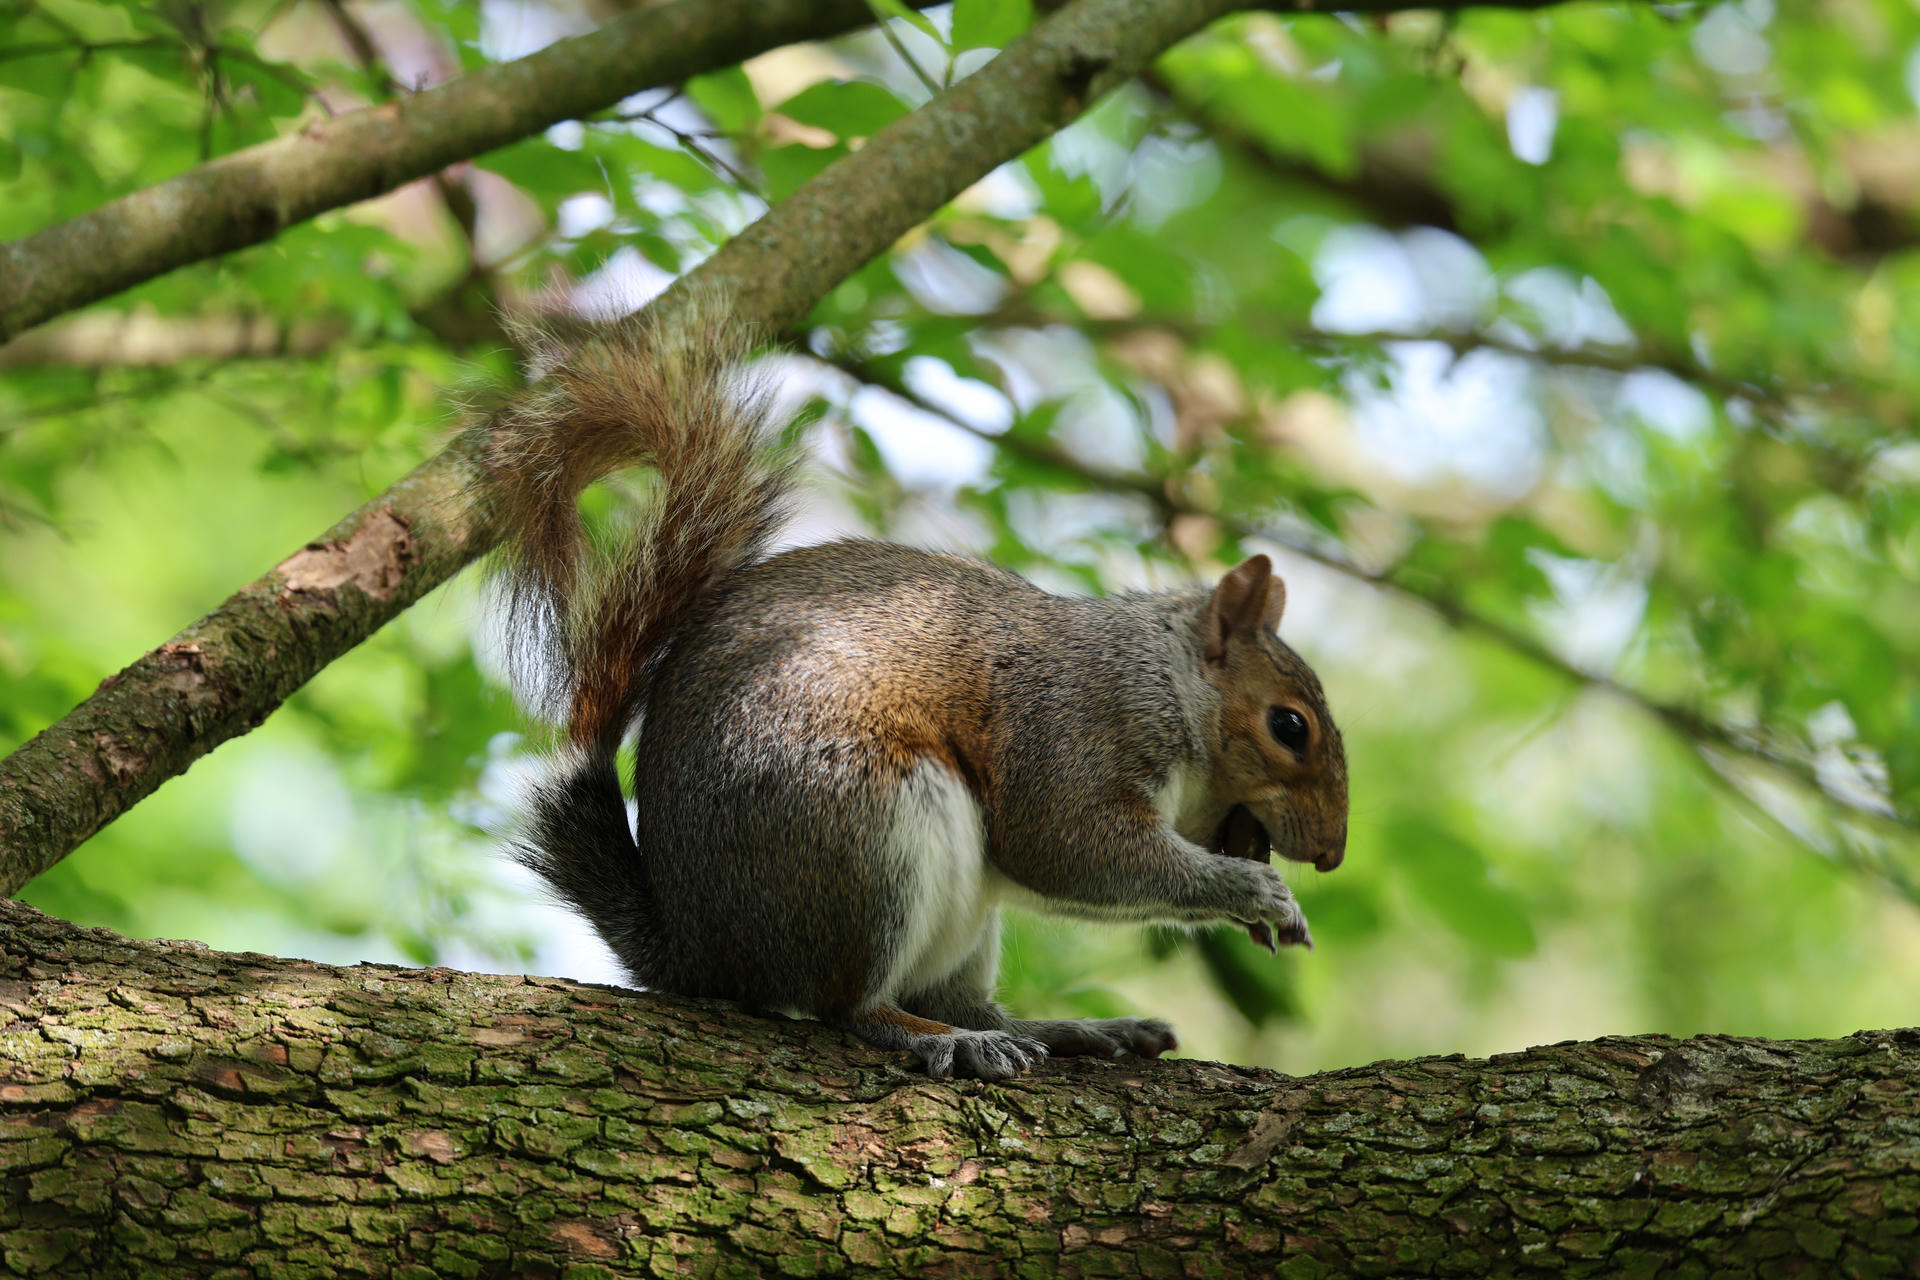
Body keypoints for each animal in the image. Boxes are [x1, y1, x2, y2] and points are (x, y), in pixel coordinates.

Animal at [483, 298, 1349, 1081]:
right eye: (1290, 726)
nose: (1331, 854)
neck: (1161, 676)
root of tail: (698, 950)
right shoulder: (1076, 725)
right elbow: (1070, 848)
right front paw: (1253, 890)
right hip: (863, 828)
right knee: (843, 1004)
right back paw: (936, 1037)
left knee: (954, 993)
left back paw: (1060, 1029)